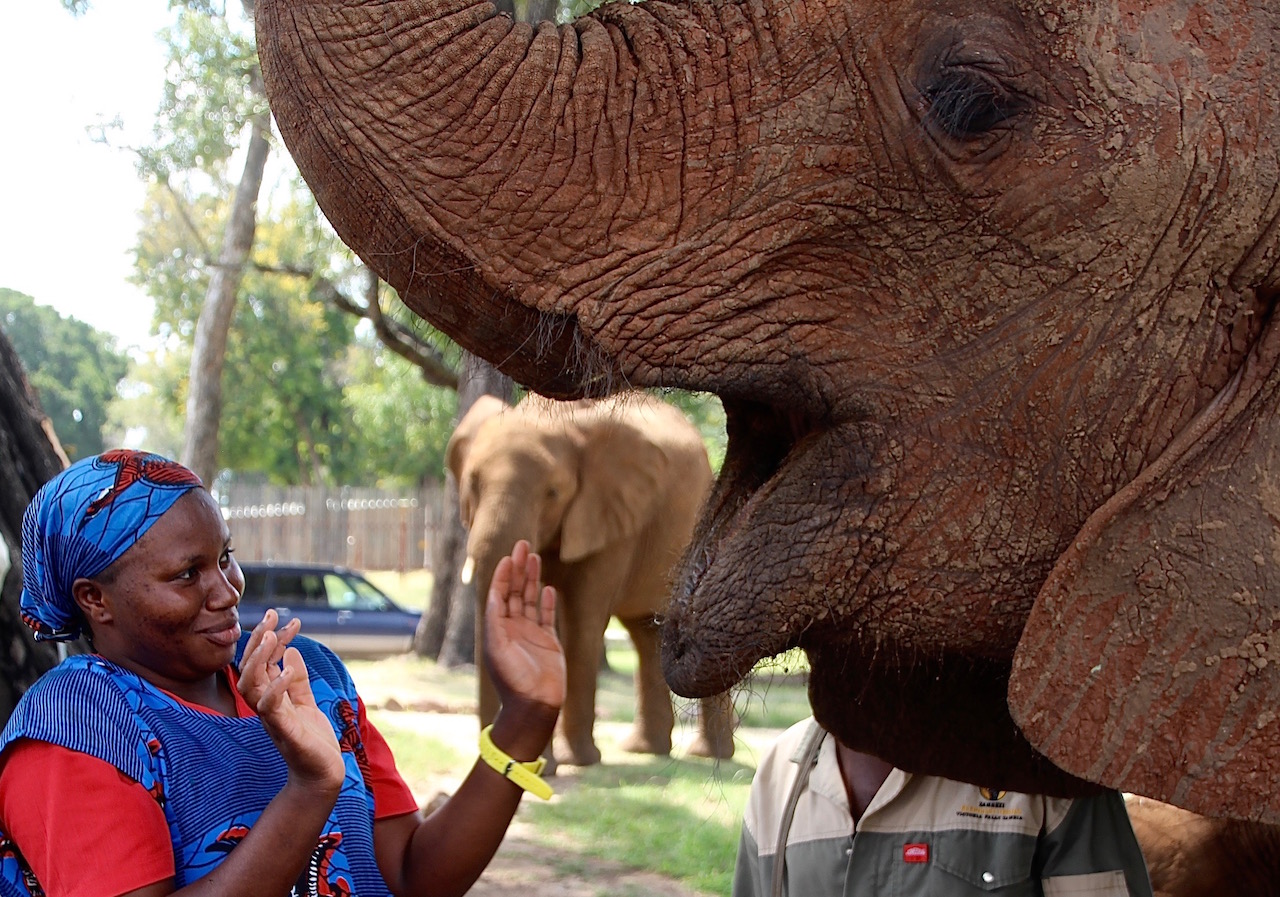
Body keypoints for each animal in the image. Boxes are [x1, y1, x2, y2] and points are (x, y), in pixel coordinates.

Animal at [448, 391, 732, 762]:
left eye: (553, 493)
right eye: (472, 484)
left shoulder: (611, 517)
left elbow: (581, 619)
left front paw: (576, 761)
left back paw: (709, 755)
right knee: (645, 633)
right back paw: (646, 750)